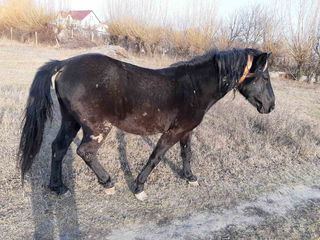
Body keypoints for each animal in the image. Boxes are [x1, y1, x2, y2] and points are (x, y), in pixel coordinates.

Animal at [18, 47, 276, 201]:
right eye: (264, 77)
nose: (271, 106)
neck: (194, 86)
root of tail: (65, 64)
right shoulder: (173, 131)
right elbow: (156, 156)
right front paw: (139, 188)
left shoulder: (186, 131)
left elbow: (186, 153)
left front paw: (190, 177)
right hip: (98, 127)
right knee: (85, 152)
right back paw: (108, 182)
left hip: (71, 121)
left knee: (58, 148)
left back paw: (58, 188)